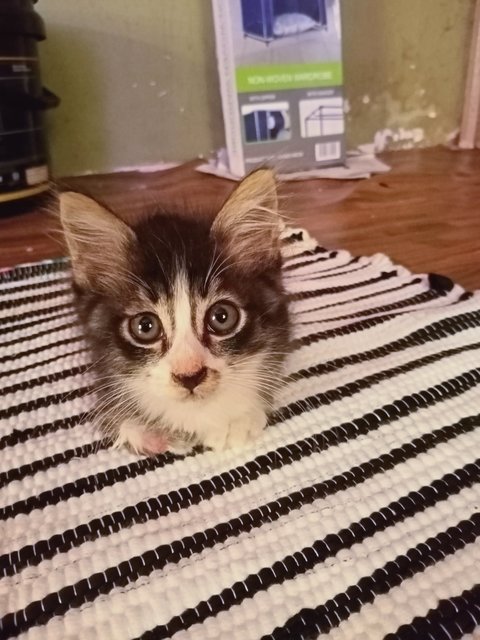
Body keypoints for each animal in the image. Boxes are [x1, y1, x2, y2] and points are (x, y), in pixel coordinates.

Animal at [61, 170, 290, 456]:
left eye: (222, 317)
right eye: (145, 326)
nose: (189, 376)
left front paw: (237, 418)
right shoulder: (101, 360)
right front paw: (143, 428)